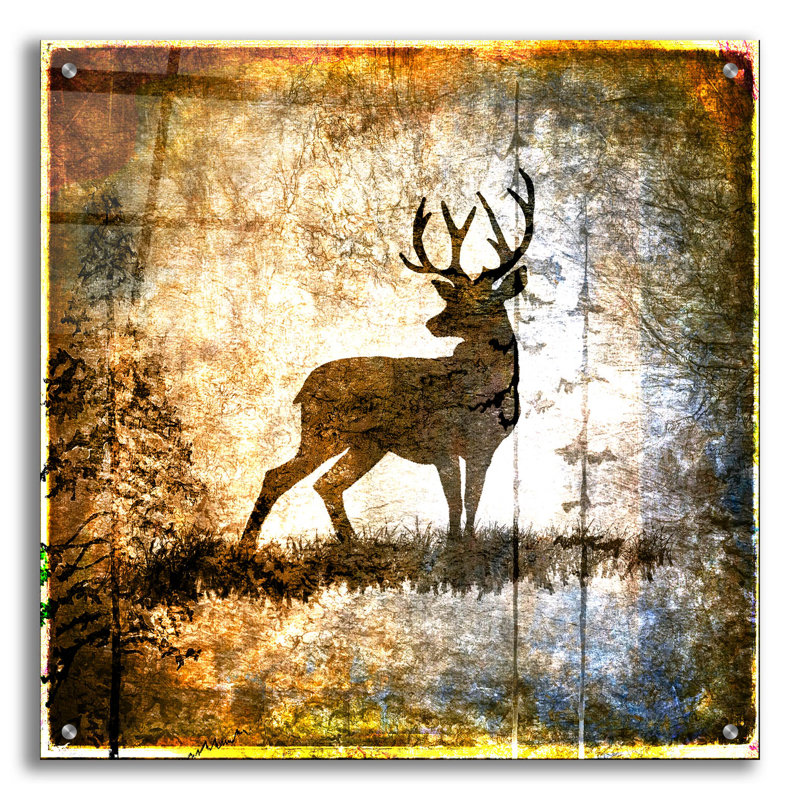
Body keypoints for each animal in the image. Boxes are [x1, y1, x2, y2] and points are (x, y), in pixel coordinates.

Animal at [239, 169, 535, 549]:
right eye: (452, 298)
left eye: (483, 302)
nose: (432, 323)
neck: (484, 392)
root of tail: (304, 387)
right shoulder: (440, 442)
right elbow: (454, 501)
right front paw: (452, 545)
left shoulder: (484, 449)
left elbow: (473, 501)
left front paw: (467, 545)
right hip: (324, 430)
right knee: (277, 475)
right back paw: (247, 545)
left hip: (368, 443)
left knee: (327, 483)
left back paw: (352, 542)